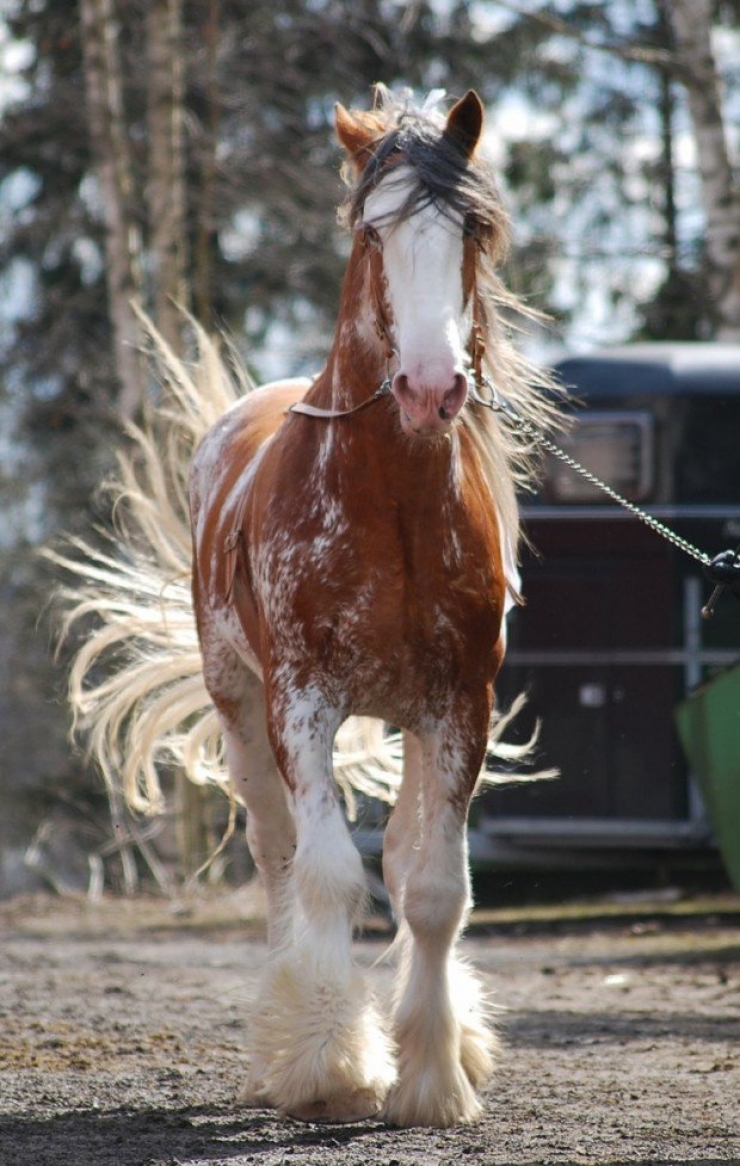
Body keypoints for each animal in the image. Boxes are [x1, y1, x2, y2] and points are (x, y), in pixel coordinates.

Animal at [59, 87, 563, 1129]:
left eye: (472, 230)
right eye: (373, 233)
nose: (430, 385)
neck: (391, 502)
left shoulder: (461, 704)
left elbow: (433, 888)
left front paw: (433, 1075)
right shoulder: (303, 702)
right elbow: (328, 874)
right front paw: (332, 1064)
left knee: (402, 853)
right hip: (241, 710)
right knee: (277, 851)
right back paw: (282, 1049)